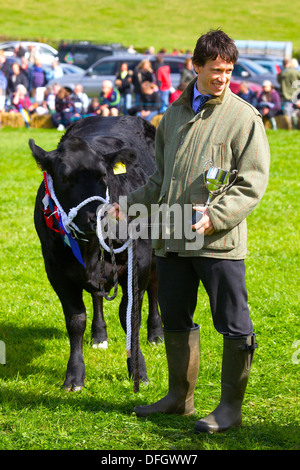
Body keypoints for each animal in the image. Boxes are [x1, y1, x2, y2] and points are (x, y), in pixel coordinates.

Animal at [29, 115, 163, 392]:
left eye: (103, 175)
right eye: (64, 177)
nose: (97, 217)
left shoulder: (139, 260)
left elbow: (130, 315)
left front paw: (138, 370)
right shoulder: (55, 269)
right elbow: (76, 319)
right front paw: (74, 376)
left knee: (155, 285)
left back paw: (156, 333)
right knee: (97, 295)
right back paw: (99, 335)